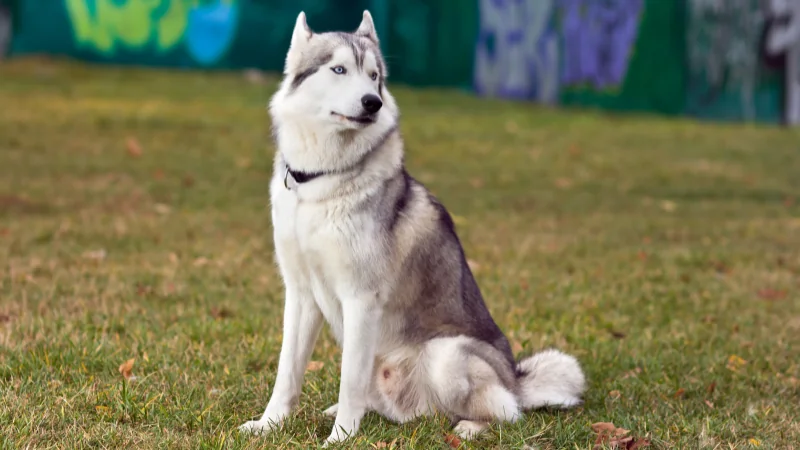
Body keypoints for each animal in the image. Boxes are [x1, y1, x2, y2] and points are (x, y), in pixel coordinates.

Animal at [239, 10, 588, 446]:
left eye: (374, 76)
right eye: (339, 69)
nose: (372, 102)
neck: (318, 182)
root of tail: (515, 380)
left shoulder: (360, 299)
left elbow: (349, 380)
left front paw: (340, 438)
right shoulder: (301, 294)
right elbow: (287, 373)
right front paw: (269, 425)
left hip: (448, 356)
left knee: (508, 413)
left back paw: (470, 427)